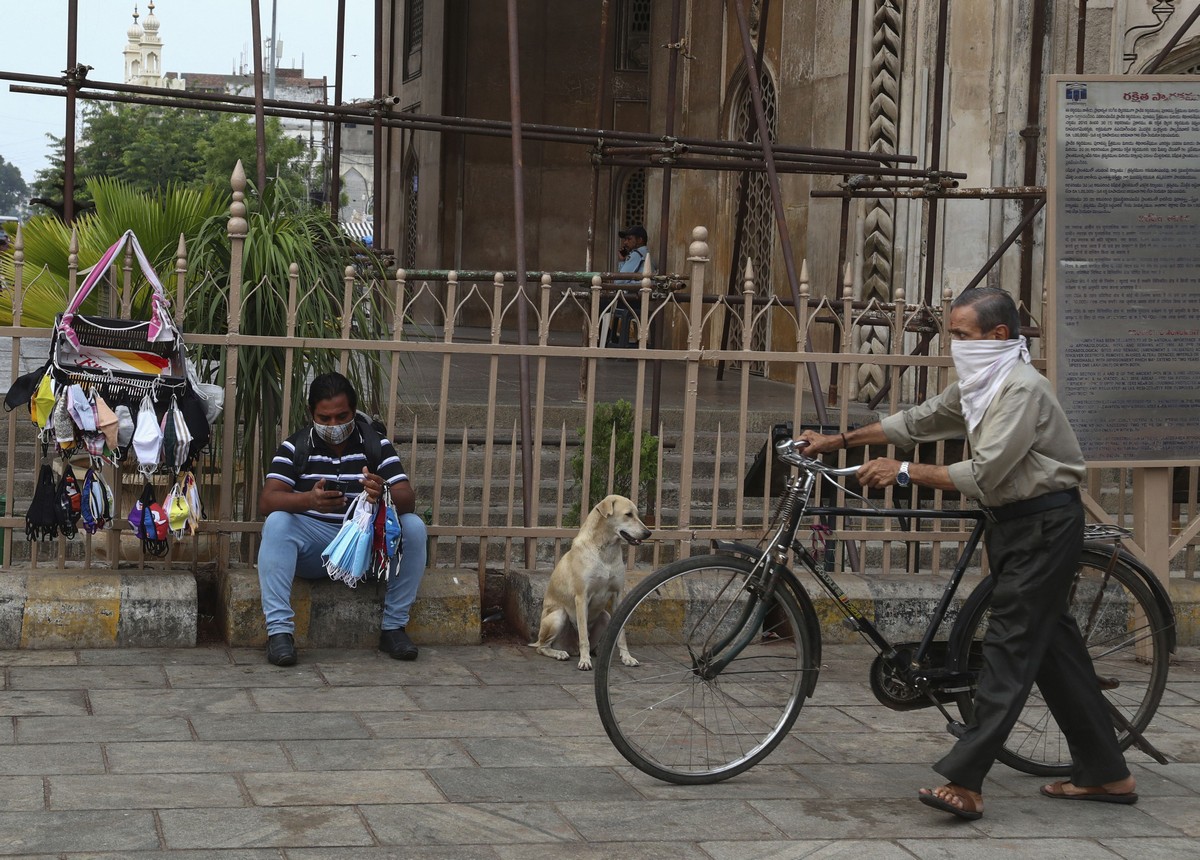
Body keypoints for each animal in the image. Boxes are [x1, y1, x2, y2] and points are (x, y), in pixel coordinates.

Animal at [530, 494, 652, 666]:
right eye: (628, 514)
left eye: (637, 514)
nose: (648, 533)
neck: (605, 549)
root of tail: (572, 649)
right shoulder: (582, 597)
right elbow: (583, 636)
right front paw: (585, 661)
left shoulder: (618, 595)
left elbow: (621, 634)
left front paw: (627, 657)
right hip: (558, 616)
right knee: (542, 647)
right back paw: (560, 653)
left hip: (606, 617)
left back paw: (599, 652)